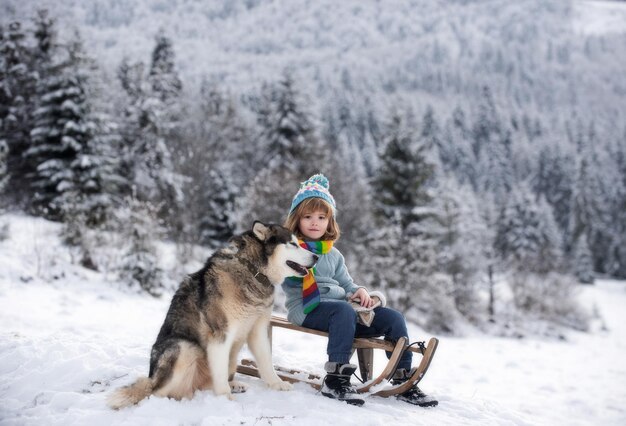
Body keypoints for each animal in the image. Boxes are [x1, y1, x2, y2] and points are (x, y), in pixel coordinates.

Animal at [106, 221, 316, 408]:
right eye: (293, 244)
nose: (316, 257)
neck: (252, 269)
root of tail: (152, 378)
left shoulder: (258, 329)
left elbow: (266, 362)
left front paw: (276, 383)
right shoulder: (220, 335)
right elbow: (220, 373)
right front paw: (225, 398)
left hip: (230, 357)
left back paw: (234, 385)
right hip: (185, 347)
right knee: (157, 392)